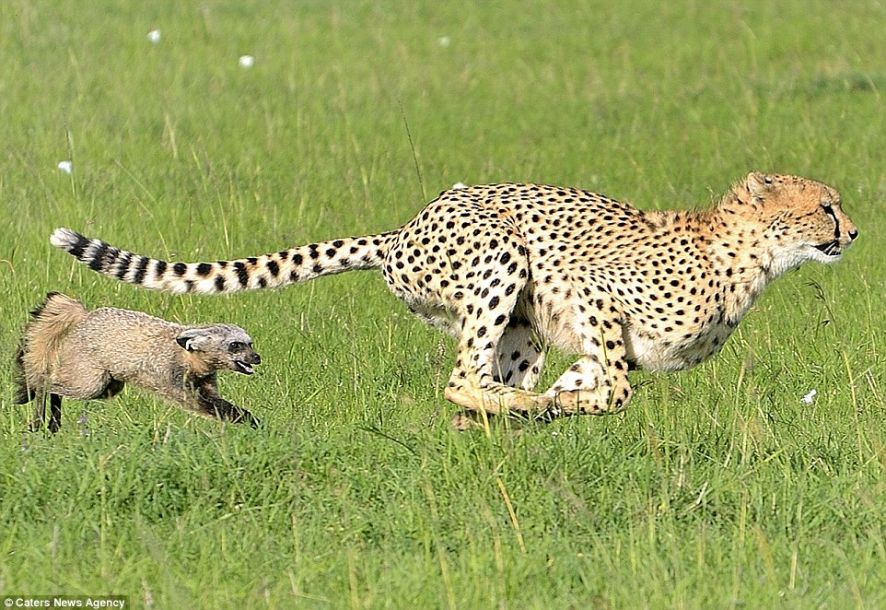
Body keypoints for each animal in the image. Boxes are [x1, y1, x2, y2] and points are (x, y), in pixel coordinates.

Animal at [50, 172, 860, 422]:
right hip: (502, 254)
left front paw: (564, 404)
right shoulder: (594, 290)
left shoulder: (598, 342)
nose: (852, 230)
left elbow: (599, 381)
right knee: (459, 377)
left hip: (519, 323)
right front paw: (567, 407)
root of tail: (404, 228)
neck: (745, 256)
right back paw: (519, 409)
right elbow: (619, 389)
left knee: (479, 382)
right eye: (825, 206)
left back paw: (514, 413)